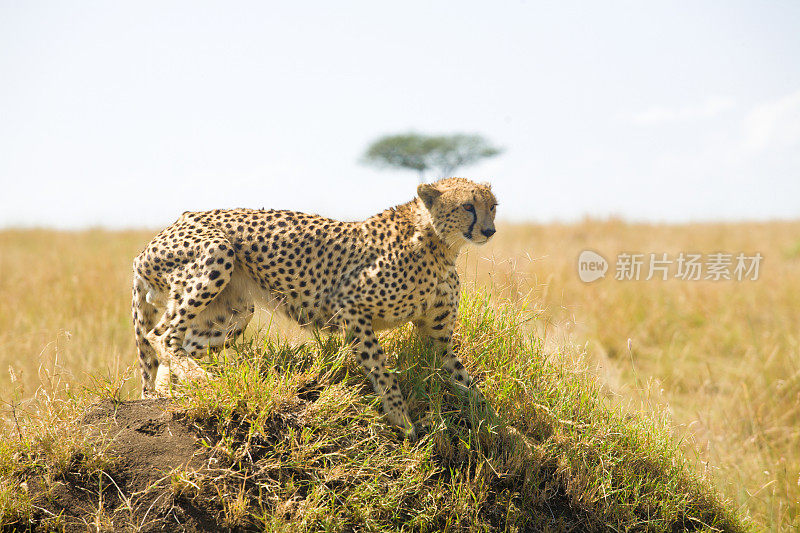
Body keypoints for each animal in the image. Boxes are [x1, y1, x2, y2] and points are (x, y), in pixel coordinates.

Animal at [131, 177, 494, 434]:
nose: (489, 230)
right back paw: (205, 381)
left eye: (493, 206)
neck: (439, 244)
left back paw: (178, 393)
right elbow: (380, 367)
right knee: (160, 336)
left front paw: (491, 419)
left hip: (232, 314)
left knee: (178, 347)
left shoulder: (438, 338)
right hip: (216, 253)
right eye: (467, 206)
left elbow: (463, 378)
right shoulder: (351, 307)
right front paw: (401, 418)